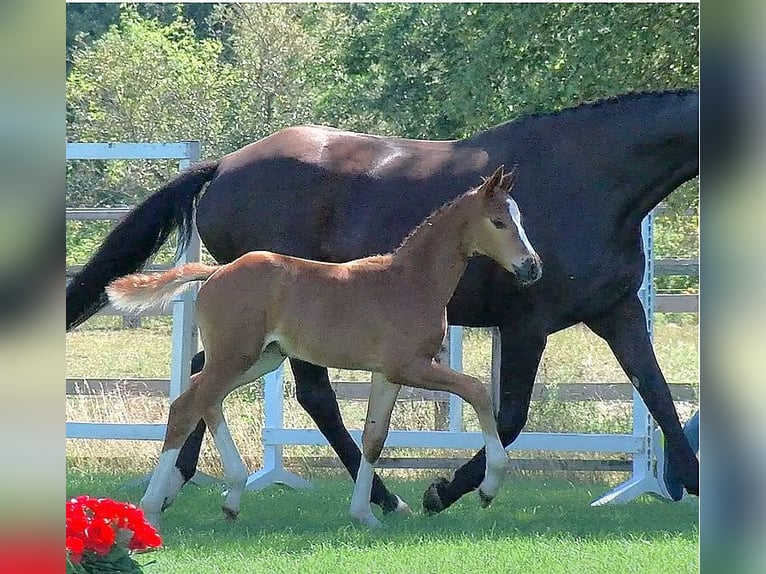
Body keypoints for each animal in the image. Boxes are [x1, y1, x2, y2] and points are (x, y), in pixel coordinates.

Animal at [106, 166, 542, 528]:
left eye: (521, 219)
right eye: (499, 222)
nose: (532, 267)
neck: (411, 281)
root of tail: (216, 272)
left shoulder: (387, 374)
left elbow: (374, 437)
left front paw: (365, 513)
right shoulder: (411, 366)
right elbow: (478, 390)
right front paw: (489, 487)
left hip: (261, 358)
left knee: (204, 397)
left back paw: (232, 496)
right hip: (236, 357)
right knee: (185, 406)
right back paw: (152, 507)